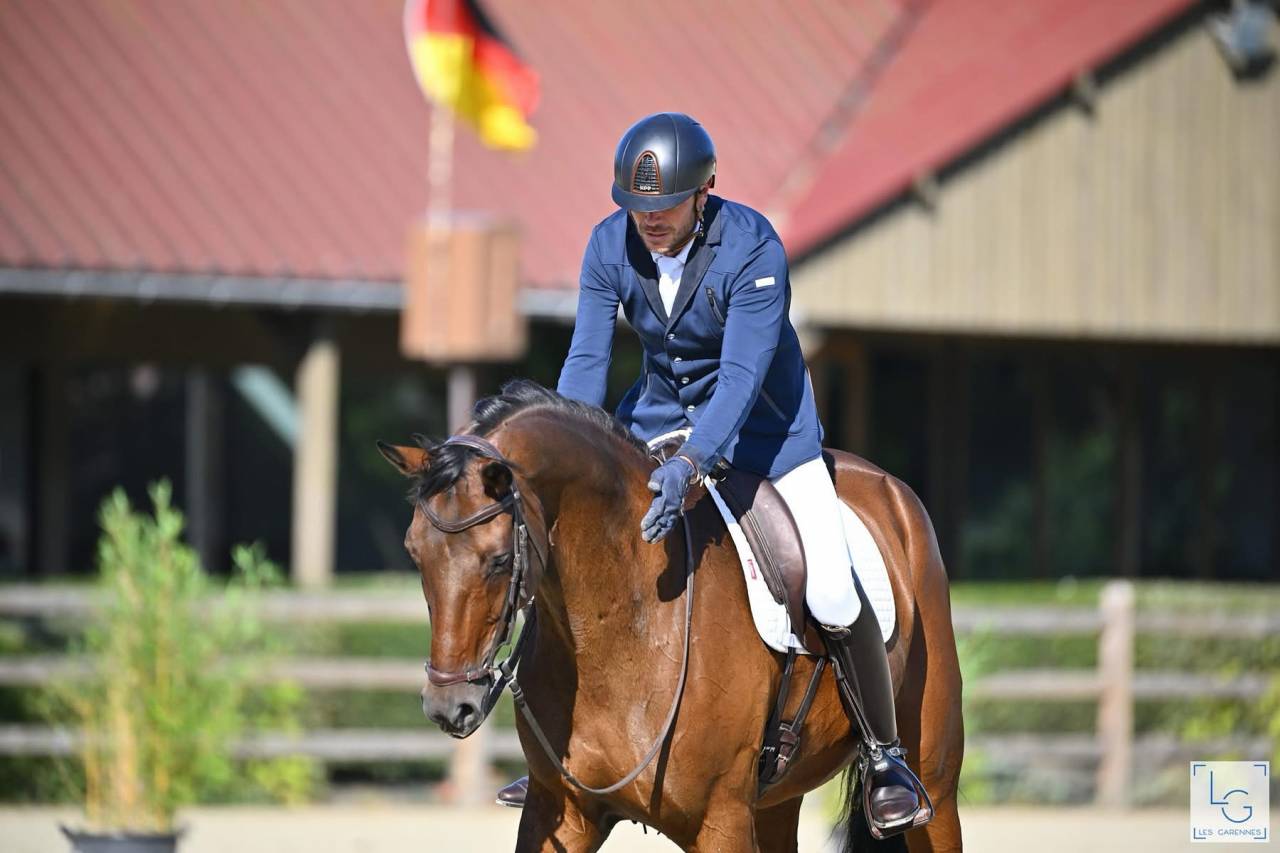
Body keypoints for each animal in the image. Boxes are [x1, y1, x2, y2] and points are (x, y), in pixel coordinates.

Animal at [378, 380, 964, 852]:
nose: (448, 706)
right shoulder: (560, 814)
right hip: (776, 801)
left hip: (934, 780)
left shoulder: (720, 822)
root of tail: (887, 484)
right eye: (414, 552)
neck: (625, 625)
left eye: (499, 560)